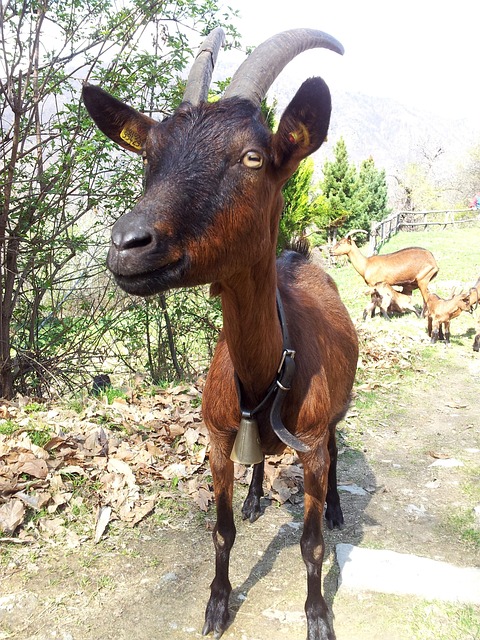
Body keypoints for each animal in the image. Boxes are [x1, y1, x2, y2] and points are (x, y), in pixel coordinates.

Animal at [82, 28, 358, 640]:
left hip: (336, 413)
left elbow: (310, 544)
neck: (265, 375)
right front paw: (216, 603)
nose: (127, 244)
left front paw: (318, 615)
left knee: (335, 446)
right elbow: (221, 530)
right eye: (149, 156)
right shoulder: (215, 438)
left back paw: (335, 508)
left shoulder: (309, 445)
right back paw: (256, 497)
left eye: (253, 157)